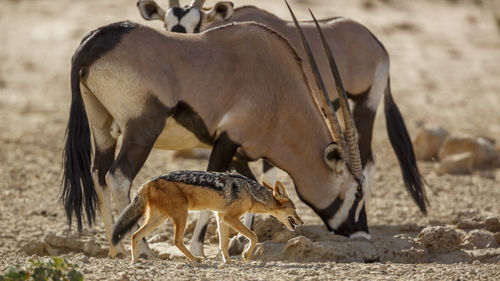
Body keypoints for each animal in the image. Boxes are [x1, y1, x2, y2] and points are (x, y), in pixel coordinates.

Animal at [139, 0, 428, 255]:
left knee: (367, 162)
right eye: (165, 23)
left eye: (196, 24)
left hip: (364, 105)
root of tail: (378, 44)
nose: (178, 47)